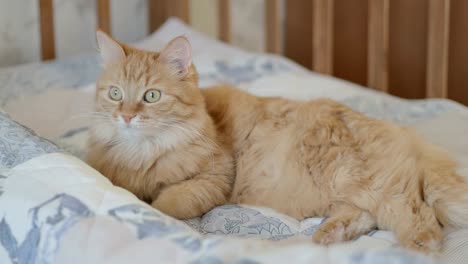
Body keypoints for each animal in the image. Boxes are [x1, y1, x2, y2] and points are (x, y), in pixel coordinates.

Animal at [87, 31, 233, 219]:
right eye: (115, 93)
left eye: (152, 96)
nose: (127, 116)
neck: (141, 152)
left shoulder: (216, 176)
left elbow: (166, 206)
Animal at [203, 85, 468, 254]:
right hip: (335, 192)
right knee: (368, 215)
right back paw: (332, 234)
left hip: (349, 176)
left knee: (414, 210)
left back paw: (422, 244)